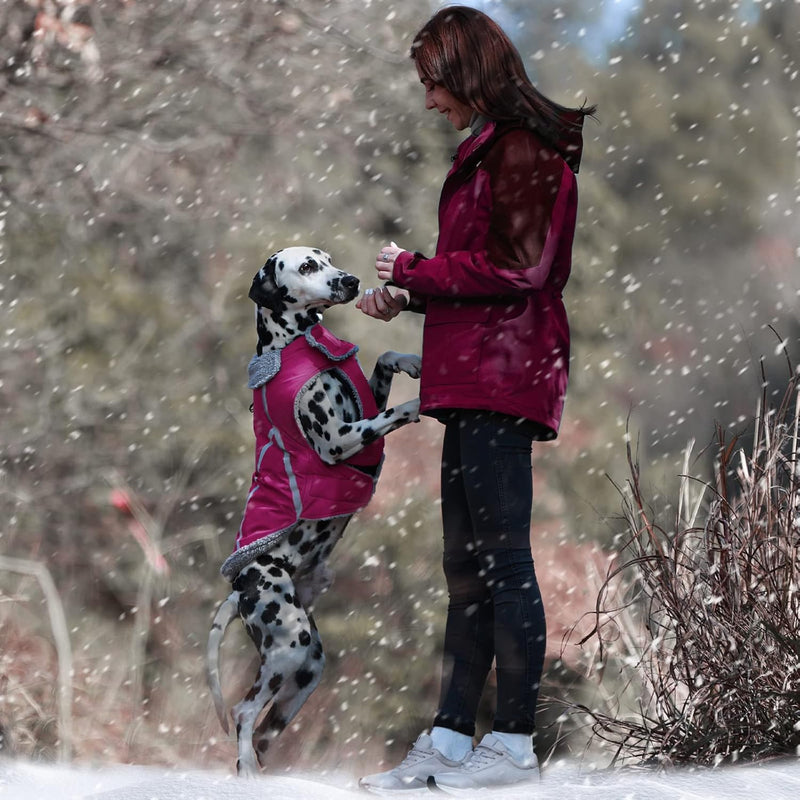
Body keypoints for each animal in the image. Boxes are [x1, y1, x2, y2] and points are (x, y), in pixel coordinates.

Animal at [206, 245, 422, 776]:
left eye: (327, 257)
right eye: (305, 267)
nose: (351, 281)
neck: (294, 345)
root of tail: (239, 589)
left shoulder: (361, 411)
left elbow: (382, 363)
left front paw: (410, 359)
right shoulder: (342, 439)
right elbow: (396, 412)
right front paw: (425, 395)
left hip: (307, 669)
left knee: (265, 728)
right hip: (290, 644)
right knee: (243, 712)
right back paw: (246, 771)